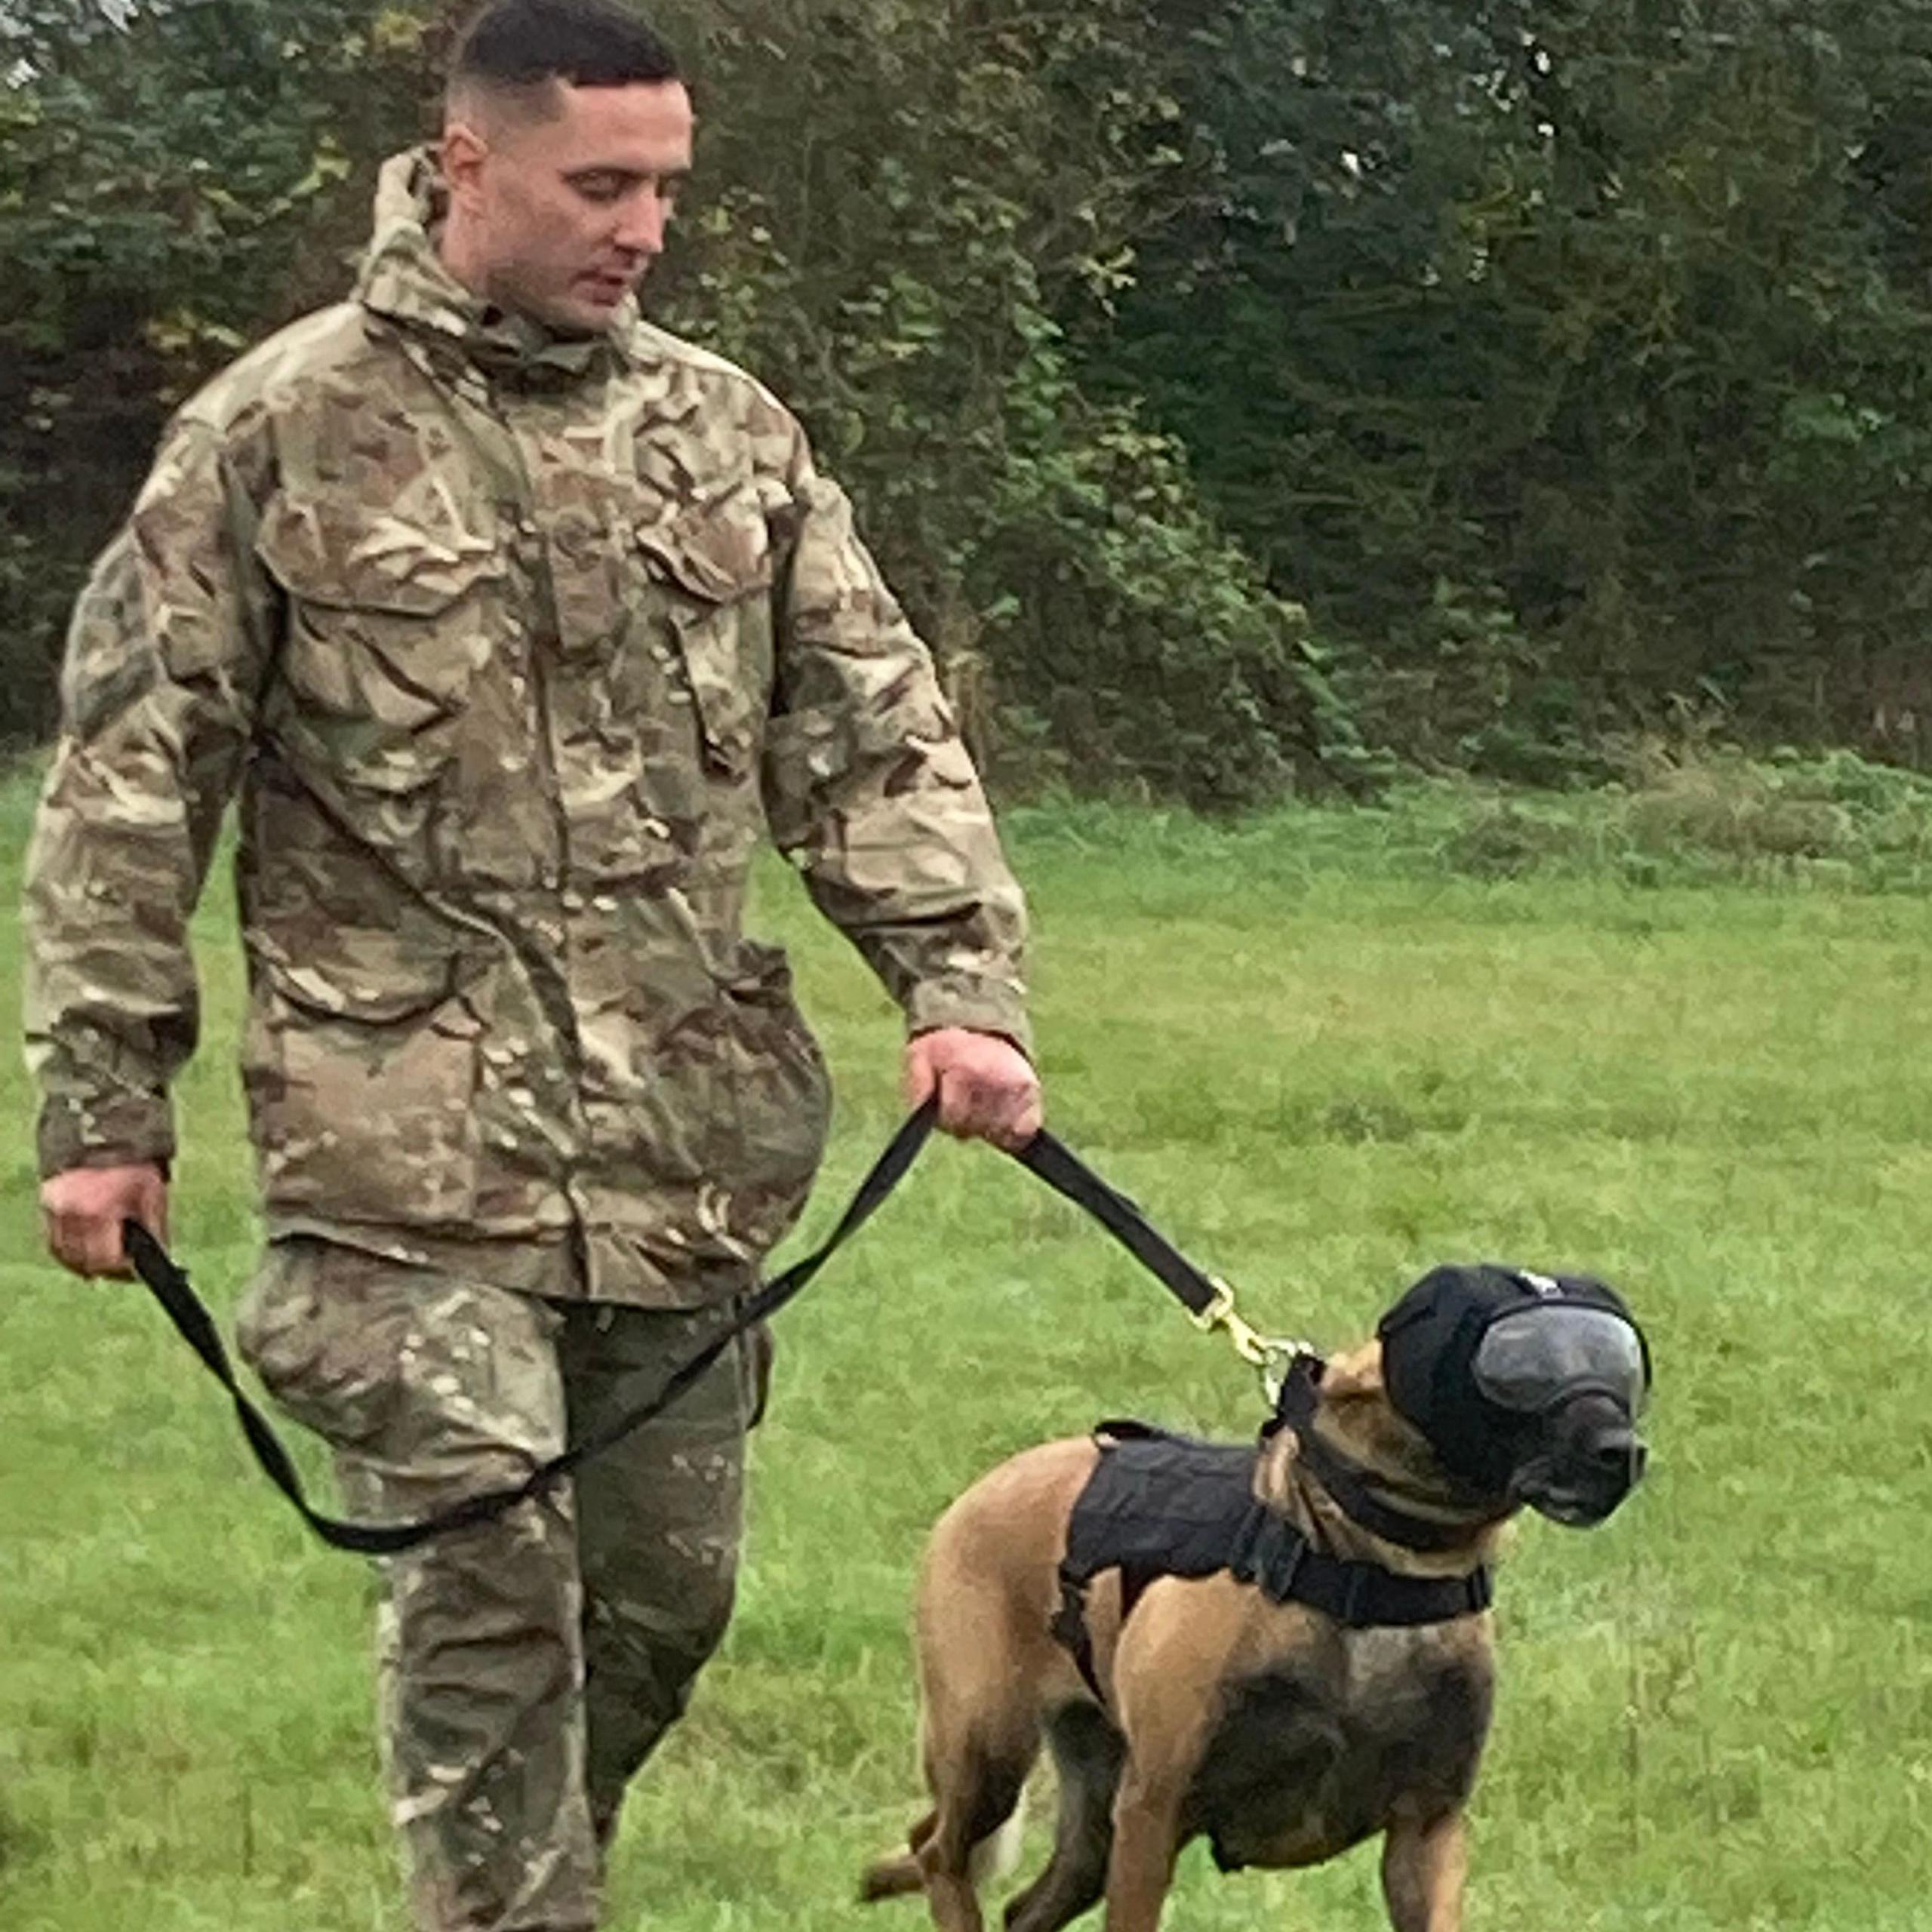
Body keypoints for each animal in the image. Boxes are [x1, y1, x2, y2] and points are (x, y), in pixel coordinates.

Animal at [861, 1260, 1646, 1932]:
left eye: (1625, 1367)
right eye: (1520, 1370)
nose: (1625, 1451)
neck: (1371, 1571)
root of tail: (980, 1490)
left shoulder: (1427, 1830)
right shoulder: (1154, 1812)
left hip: (1089, 1809)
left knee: (1026, 1903)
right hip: (989, 1747)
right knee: (937, 1852)